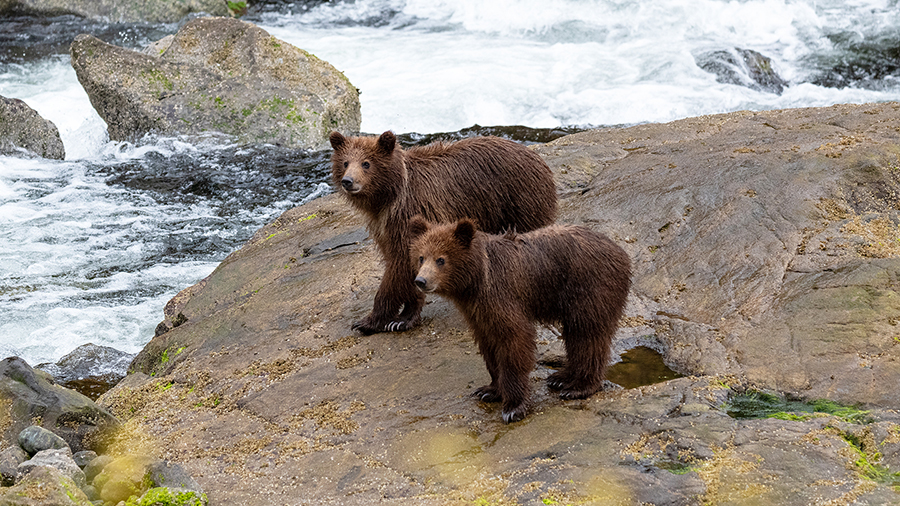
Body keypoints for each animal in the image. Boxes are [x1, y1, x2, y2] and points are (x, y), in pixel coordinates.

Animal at [329, 130, 557, 335]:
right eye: (345, 162)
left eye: (366, 163)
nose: (348, 181)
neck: (388, 197)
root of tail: (537, 158)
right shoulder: (385, 227)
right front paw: (402, 318)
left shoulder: (410, 213)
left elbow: (399, 265)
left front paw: (368, 321)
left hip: (519, 200)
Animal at [409, 216, 632, 423]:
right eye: (421, 257)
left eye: (441, 259)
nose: (421, 280)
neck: (475, 281)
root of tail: (620, 251)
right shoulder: (478, 312)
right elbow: (489, 345)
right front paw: (489, 390)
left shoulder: (502, 296)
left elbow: (514, 341)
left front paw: (512, 408)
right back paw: (560, 378)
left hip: (589, 288)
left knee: (587, 333)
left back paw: (578, 387)